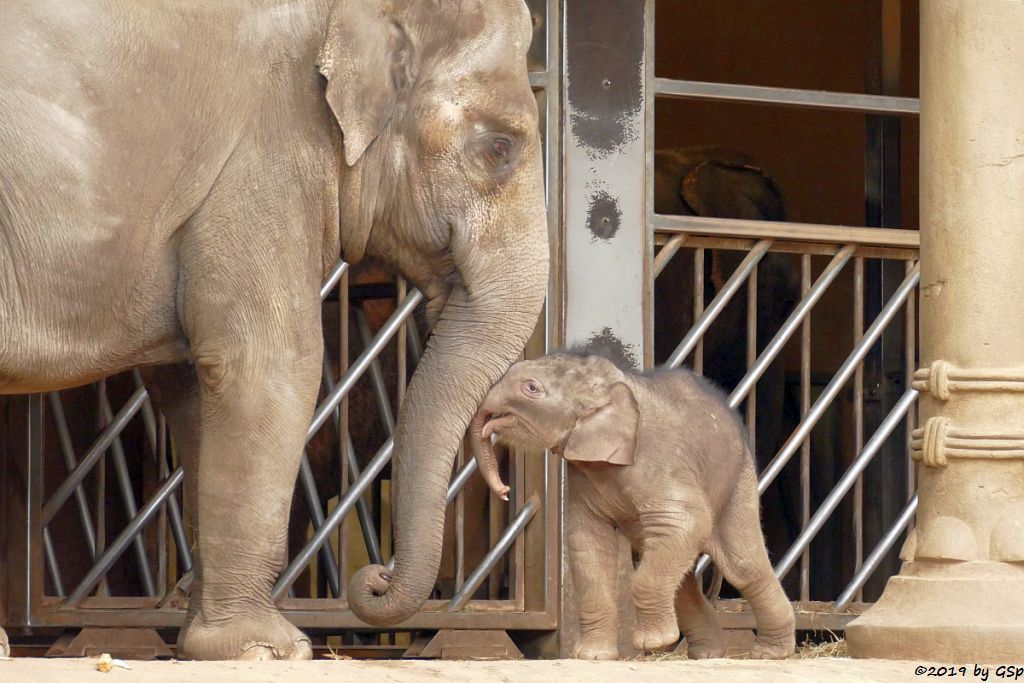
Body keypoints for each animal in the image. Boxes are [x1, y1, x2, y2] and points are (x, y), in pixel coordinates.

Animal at [0, 0, 552, 663]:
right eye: (499, 149)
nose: (375, 580)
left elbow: (192, 386)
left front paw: (204, 639)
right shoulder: (267, 160)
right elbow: (270, 365)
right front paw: (270, 648)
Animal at [468, 350, 794, 659]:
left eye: (531, 388)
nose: (505, 491)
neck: (614, 386)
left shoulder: (659, 461)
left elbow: (686, 522)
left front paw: (652, 643)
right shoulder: (582, 476)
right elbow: (587, 541)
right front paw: (592, 655)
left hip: (738, 482)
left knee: (743, 567)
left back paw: (769, 653)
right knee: (683, 577)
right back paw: (707, 654)